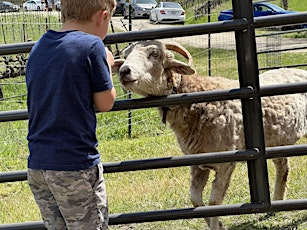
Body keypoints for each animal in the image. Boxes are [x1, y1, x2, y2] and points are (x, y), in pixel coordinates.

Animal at [112, 40, 307, 229]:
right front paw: (219, 224)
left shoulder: (226, 162)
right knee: (283, 167)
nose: (124, 71)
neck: (197, 101)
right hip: (277, 142)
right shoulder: (197, 162)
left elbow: (214, 203)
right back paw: (275, 205)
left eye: (154, 53)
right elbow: (196, 201)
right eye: (126, 55)